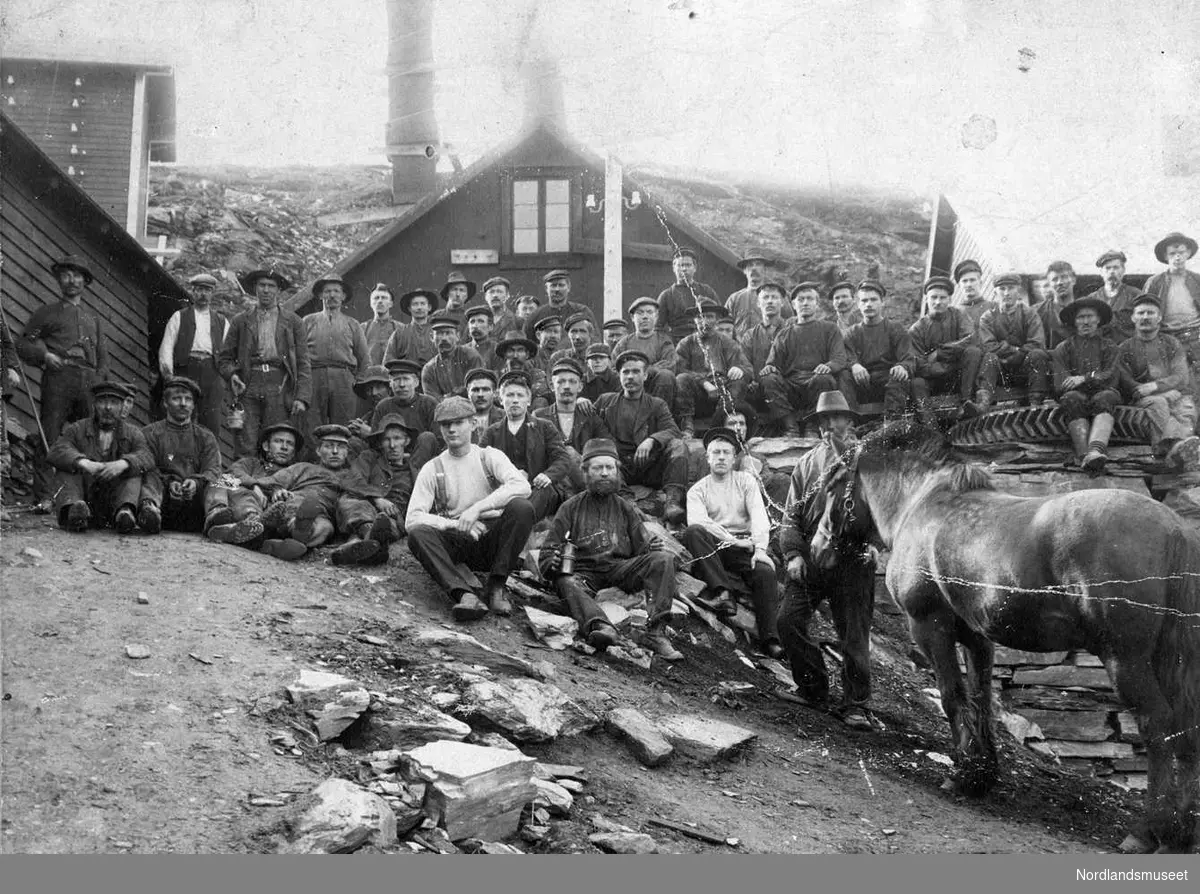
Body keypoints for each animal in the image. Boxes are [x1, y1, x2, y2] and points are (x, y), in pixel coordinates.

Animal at [816, 417, 1200, 849]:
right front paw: (982, 774)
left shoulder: (930, 627)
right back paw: (1181, 831)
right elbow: (981, 699)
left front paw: (963, 774)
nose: (819, 547)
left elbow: (952, 697)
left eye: (833, 483)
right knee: (1186, 728)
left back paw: (1148, 830)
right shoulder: (977, 638)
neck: (922, 504)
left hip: (1126, 660)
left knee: (1158, 726)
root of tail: (1175, 529)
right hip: (1169, 659)